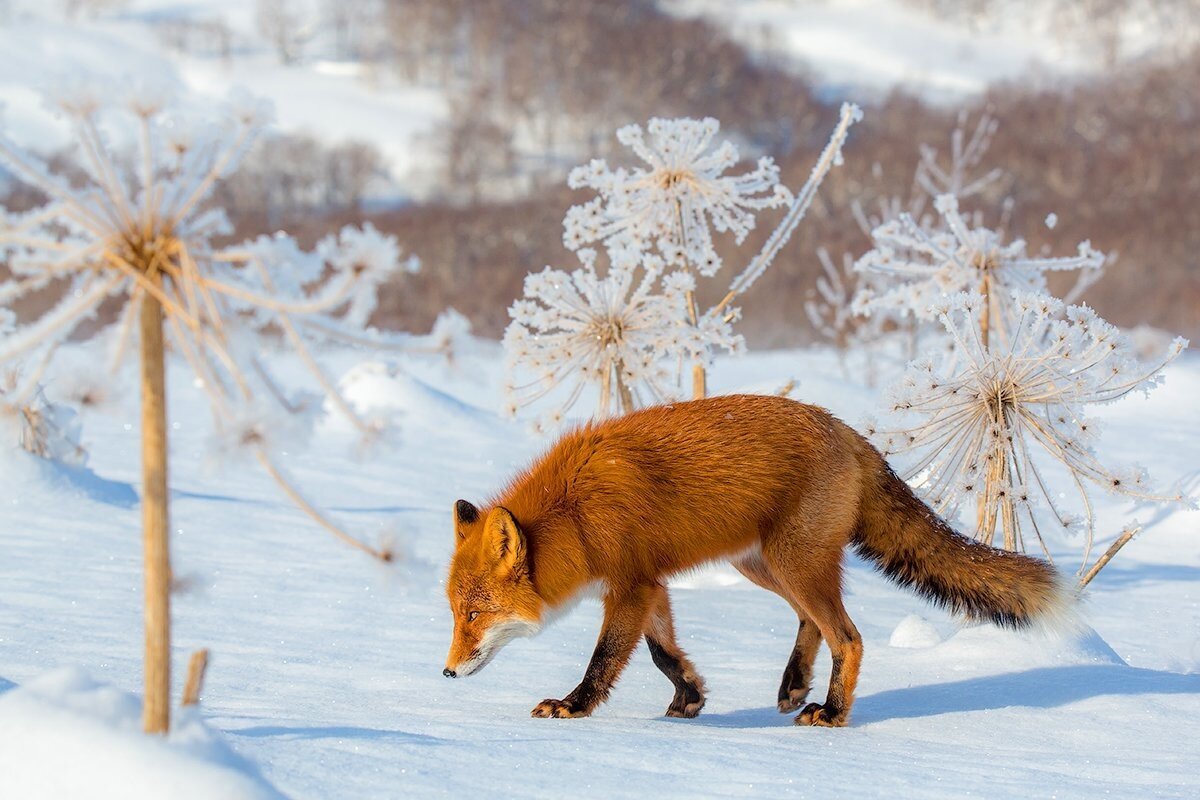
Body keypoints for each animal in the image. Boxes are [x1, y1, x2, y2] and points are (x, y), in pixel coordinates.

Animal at [446, 393, 1065, 724]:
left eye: (475, 614)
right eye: (454, 615)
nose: (447, 672)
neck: (574, 514)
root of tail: (847, 430)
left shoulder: (631, 587)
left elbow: (605, 659)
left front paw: (573, 707)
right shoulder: (649, 585)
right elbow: (663, 653)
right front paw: (689, 698)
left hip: (791, 562)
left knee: (847, 636)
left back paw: (832, 712)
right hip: (764, 565)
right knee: (811, 621)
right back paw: (795, 685)